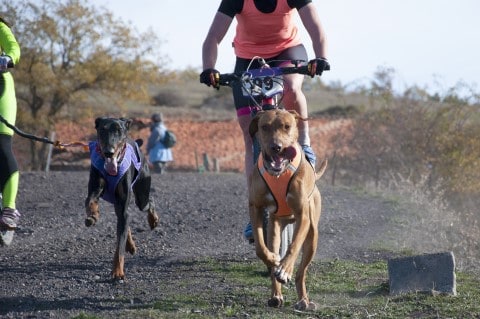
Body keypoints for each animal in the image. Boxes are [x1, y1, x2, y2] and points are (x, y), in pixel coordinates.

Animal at [83, 117, 158, 280]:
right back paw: (131, 244)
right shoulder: (95, 188)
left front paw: (117, 271)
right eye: (102, 130)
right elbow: (89, 201)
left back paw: (153, 220)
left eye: (118, 130)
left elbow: (119, 246)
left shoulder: (124, 202)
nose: (109, 152)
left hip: (141, 196)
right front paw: (93, 215)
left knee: (148, 203)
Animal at [248, 109, 326, 312]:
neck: (279, 173)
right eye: (264, 127)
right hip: (275, 228)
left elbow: (293, 246)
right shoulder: (256, 207)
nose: (276, 147)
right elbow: (260, 248)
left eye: (287, 126)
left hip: (312, 237)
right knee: (272, 248)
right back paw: (276, 294)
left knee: (301, 272)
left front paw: (285, 269)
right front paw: (274, 261)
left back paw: (303, 299)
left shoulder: (302, 215)